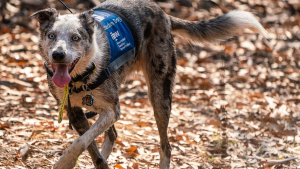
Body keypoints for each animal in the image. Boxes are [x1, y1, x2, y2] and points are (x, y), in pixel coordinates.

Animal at [31, 0, 268, 168]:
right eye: (51, 35)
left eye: (76, 38)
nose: (58, 55)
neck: (81, 76)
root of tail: (162, 12)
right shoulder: (75, 112)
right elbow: (89, 146)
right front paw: (91, 161)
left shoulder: (112, 110)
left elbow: (81, 142)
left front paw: (64, 162)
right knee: (112, 135)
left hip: (160, 97)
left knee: (166, 147)